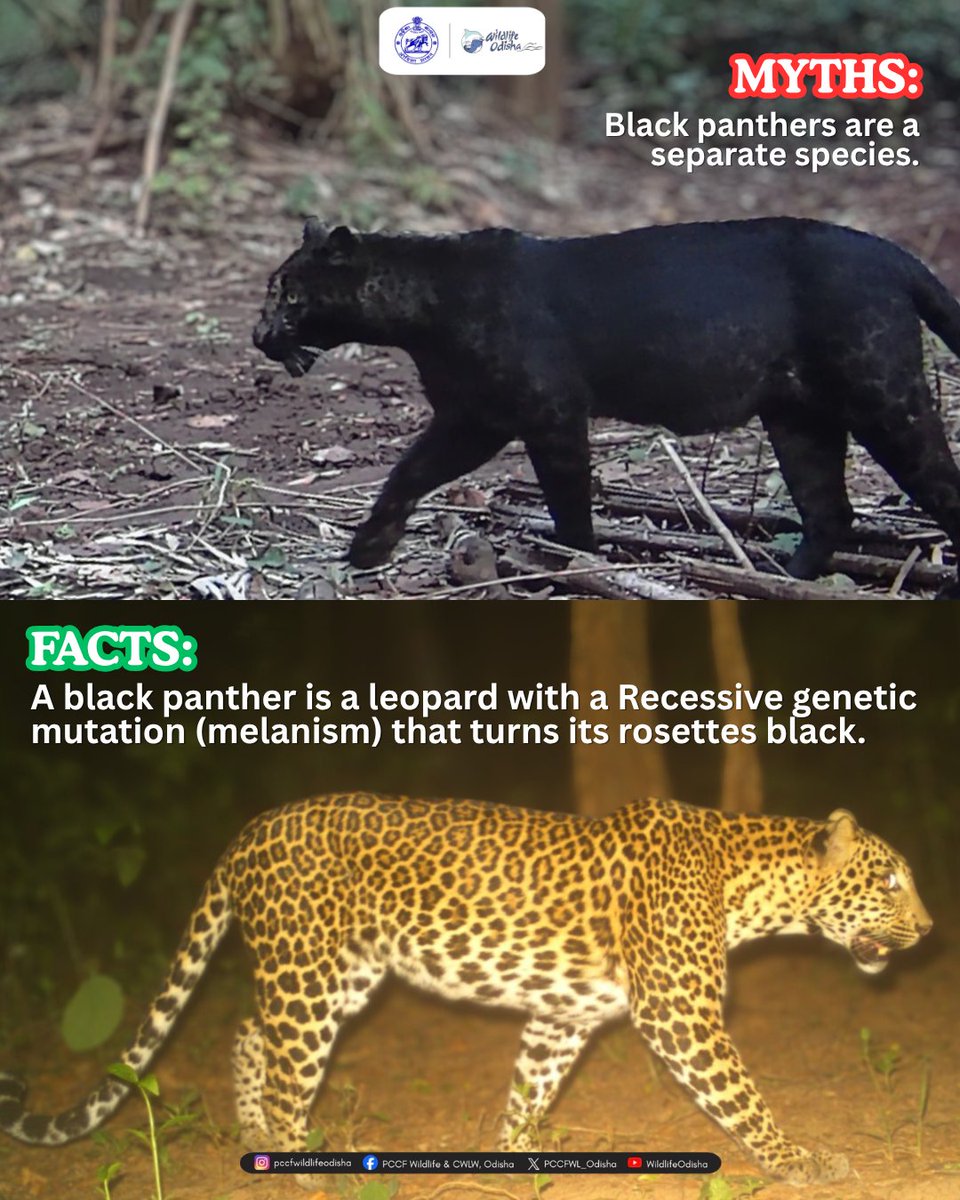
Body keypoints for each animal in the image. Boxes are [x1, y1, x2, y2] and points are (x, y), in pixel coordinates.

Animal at [0, 794, 932, 1189]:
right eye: (890, 880)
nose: (928, 930)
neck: (752, 885)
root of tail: (249, 831)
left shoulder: (563, 1016)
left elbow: (529, 1089)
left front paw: (516, 1154)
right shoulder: (681, 1015)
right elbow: (745, 1100)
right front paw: (800, 1161)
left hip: (341, 975)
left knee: (246, 1032)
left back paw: (253, 1135)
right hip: (311, 979)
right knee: (287, 1067)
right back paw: (300, 1166)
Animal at [252, 217, 960, 593]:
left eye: (289, 295)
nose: (259, 333)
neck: (423, 310)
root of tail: (892, 253)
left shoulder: (548, 414)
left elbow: (567, 499)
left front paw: (575, 565)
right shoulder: (473, 418)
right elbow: (409, 472)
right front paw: (369, 547)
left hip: (883, 396)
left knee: (937, 483)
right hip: (799, 420)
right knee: (829, 510)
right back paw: (780, 580)